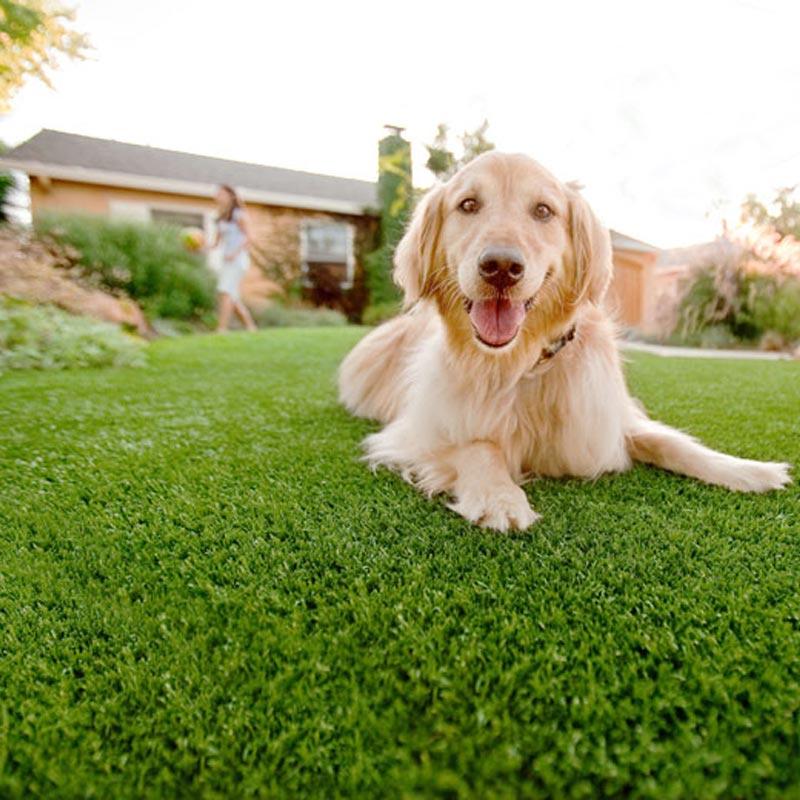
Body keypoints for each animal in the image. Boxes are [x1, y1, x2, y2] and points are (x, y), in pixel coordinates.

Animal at [336, 155, 788, 532]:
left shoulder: (604, 420)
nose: (501, 266)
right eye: (467, 205)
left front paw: (748, 470)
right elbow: (479, 445)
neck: (521, 363)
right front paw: (500, 497)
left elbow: (670, 442)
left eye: (543, 211)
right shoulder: (417, 431)